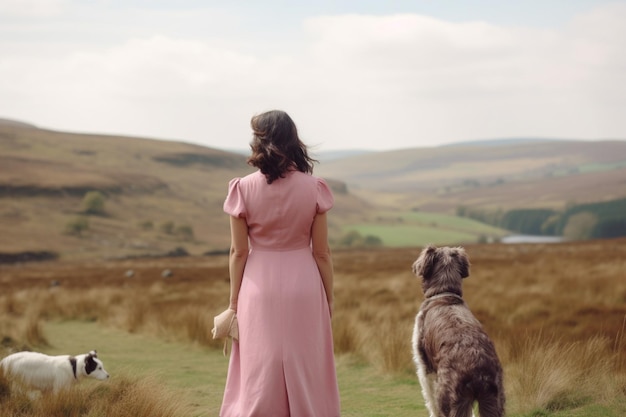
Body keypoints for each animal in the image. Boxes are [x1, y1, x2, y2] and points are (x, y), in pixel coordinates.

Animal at [410, 245, 502, 416]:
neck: (444, 293)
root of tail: (478, 371)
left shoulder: (425, 367)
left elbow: (430, 398)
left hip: (449, 397)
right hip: (493, 400)